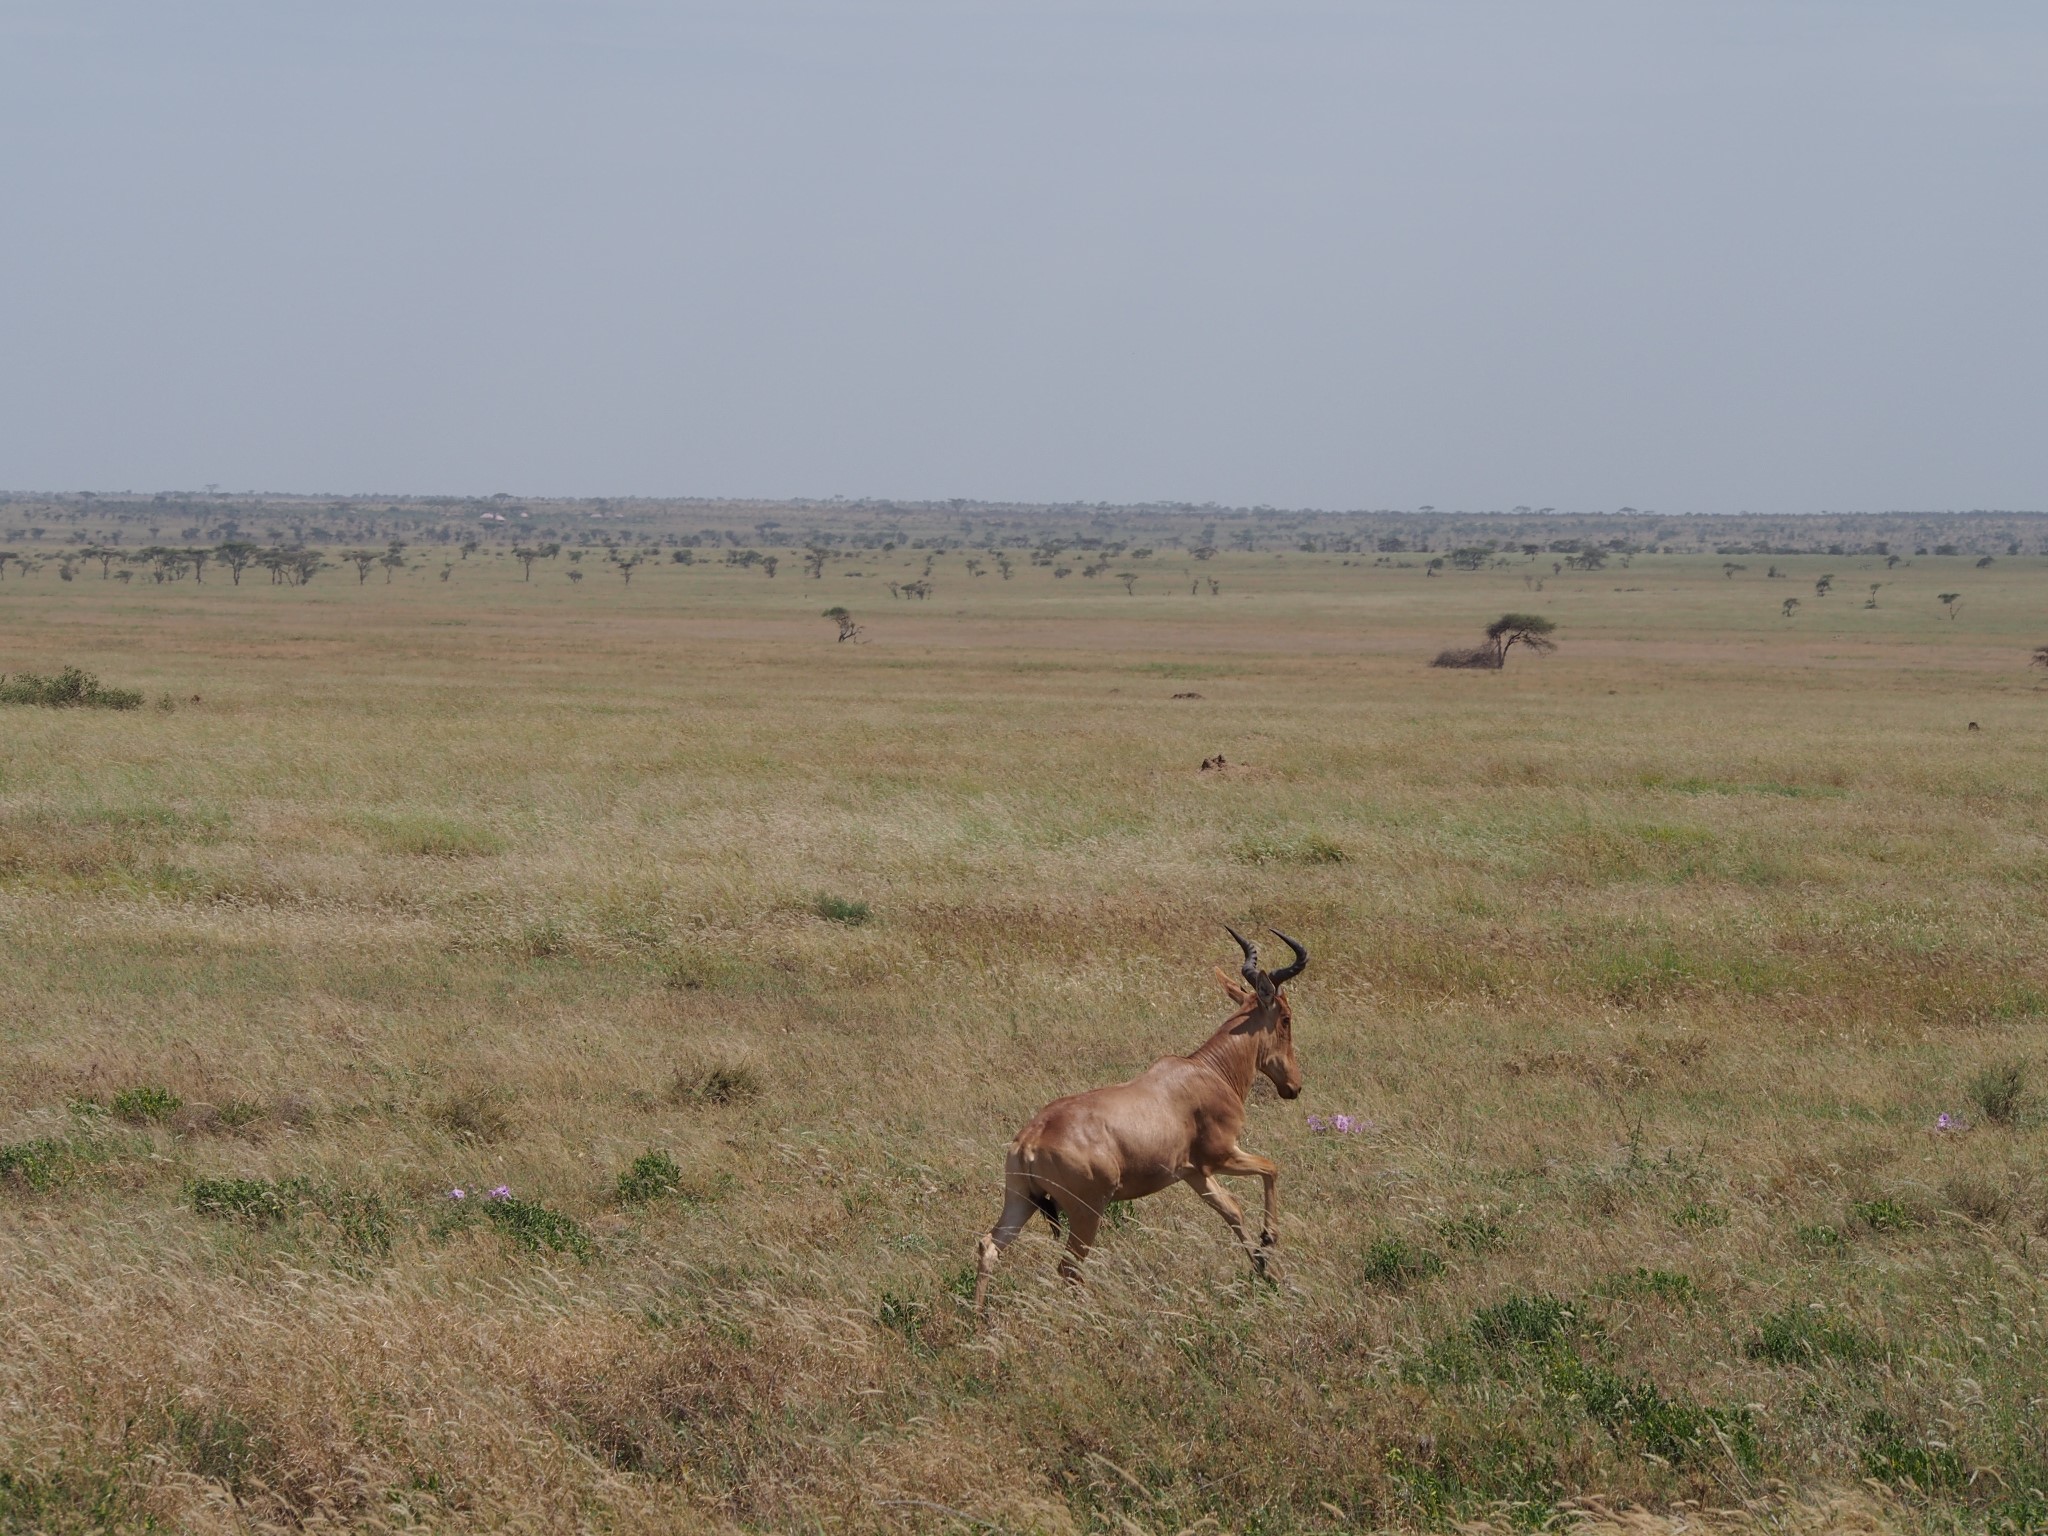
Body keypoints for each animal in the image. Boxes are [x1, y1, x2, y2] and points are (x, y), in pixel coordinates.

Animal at [974, 925, 1310, 1310]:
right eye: (1286, 1018)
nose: (1294, 1087)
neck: (1207, 1072)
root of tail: (1029, 1140)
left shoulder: (1194, 1173)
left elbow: (1232, 1210)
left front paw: (1266, 1271)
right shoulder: (1221, 1156)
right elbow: (1271, 1168)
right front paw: (1269, 1240)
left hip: (1020, 1199)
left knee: (989, 1246)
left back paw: (981, 1315)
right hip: (1087, 1211)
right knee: (1068, 1267)